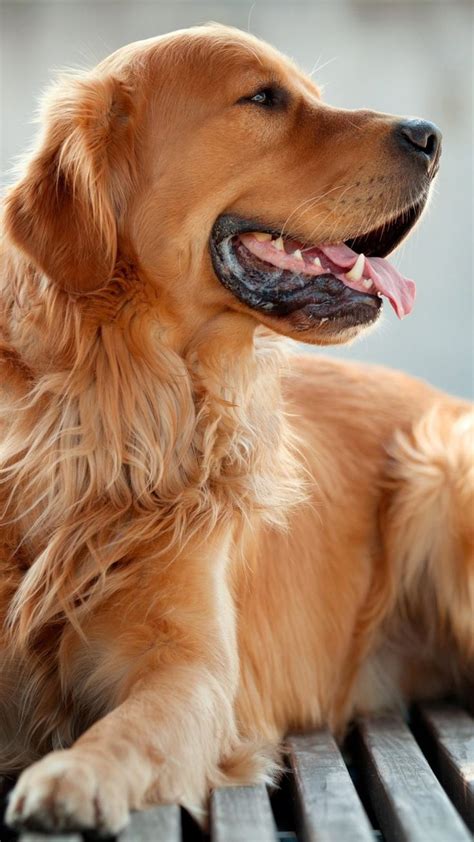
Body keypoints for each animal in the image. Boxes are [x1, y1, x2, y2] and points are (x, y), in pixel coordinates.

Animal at [0, 21, 472, 832]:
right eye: (263, 98)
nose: (432, 136)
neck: (115, 400)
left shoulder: (189, 669)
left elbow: (128, 729)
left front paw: (75, 773)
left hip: (443, 473)